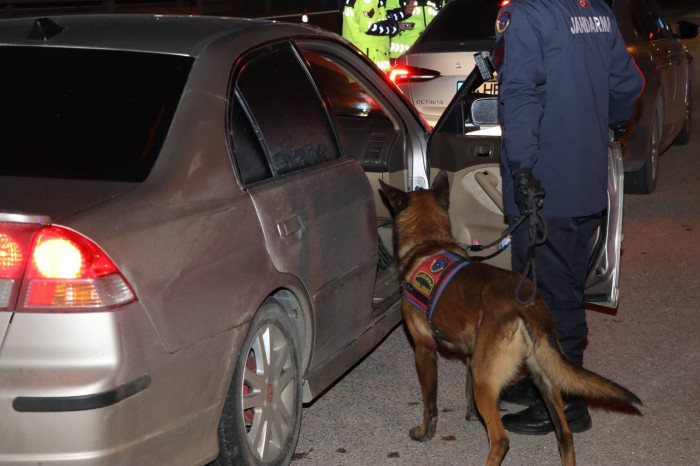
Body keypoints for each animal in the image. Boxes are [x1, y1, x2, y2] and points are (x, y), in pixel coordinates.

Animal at [380, 172, 644, 466]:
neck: (429, 243)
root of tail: (528, 306)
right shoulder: (472, 355)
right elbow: (467, 392)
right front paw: (472, 415)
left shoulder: (424, 349)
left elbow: (430, 403)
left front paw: (424, 433)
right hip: (542, 376)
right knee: (564, 435)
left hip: (488, 379)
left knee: (501, 440)